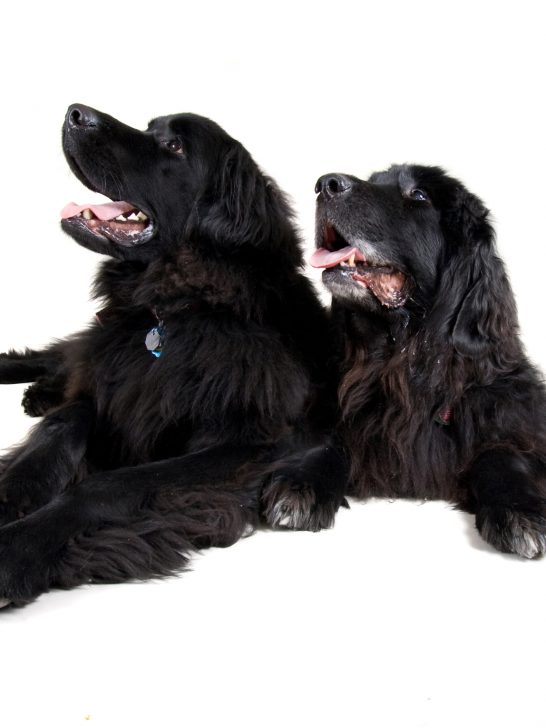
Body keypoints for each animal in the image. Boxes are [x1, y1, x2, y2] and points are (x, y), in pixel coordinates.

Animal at [0, 105, 340, 604]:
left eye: (175, 146)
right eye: (149, 129)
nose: (75, 113)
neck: (179, 306)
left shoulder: (243, 444)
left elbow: (108, 485)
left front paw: (18, 548)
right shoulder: (115, 386)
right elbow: (59, 427)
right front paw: (11, 491)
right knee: (59, 355)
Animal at [266, 165, 544, 556]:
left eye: (419, 196)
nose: (325, 184)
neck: (398, 364)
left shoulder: (508, 416)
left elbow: (503, 453)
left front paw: (521, 511)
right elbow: (327, 437)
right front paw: (300, 486)